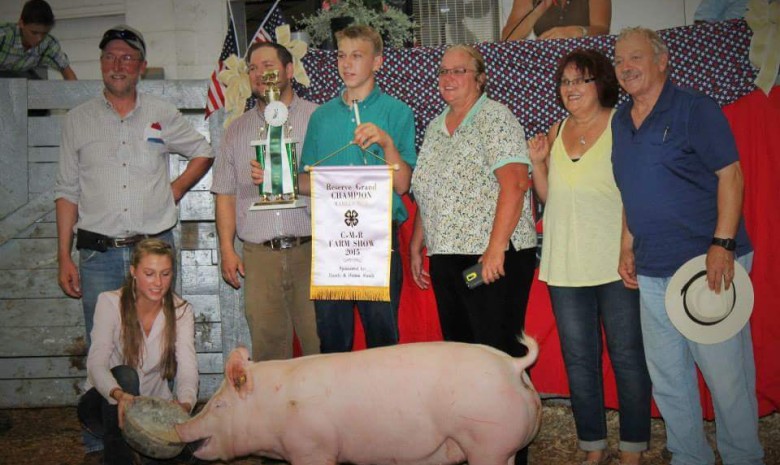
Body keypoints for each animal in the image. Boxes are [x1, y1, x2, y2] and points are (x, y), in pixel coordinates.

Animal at [177, 336, 544, 462]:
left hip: (487, 442)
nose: (183, 426)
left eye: (219, 405)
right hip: (504, 447)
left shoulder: (312, 448)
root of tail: (513, 365)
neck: (274, 406)